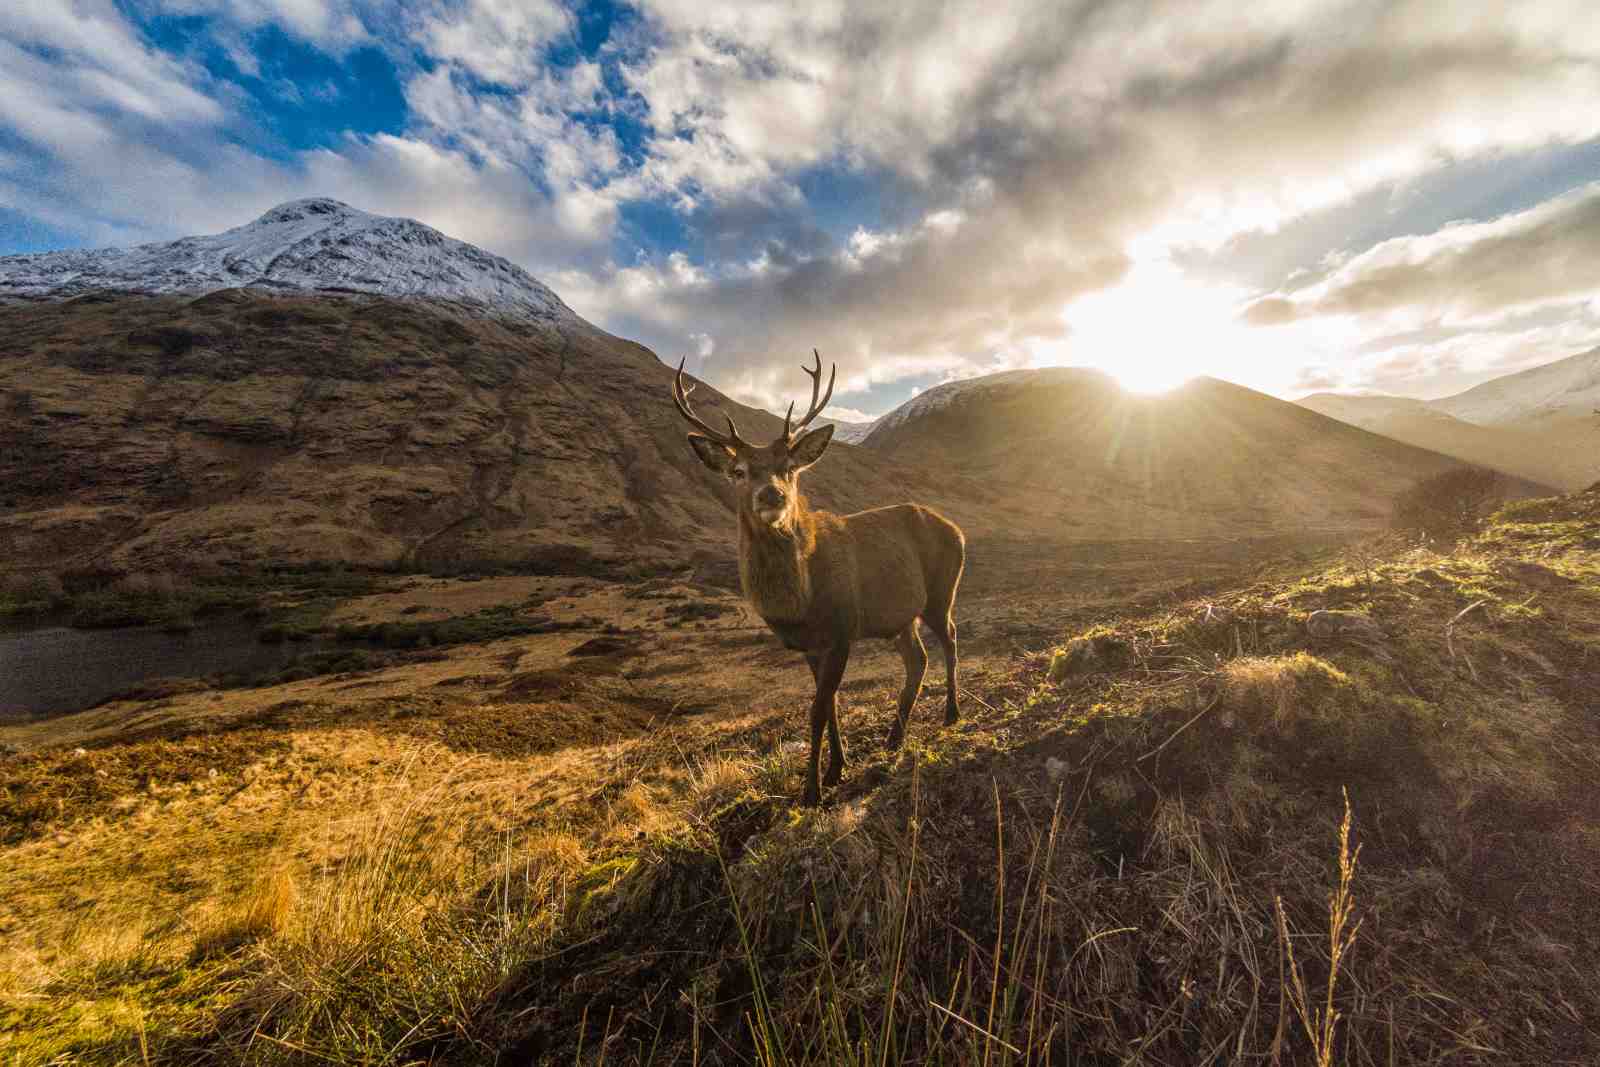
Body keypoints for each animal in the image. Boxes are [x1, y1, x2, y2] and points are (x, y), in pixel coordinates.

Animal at [671, 351, 965, 805]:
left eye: (789, 467)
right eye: (738, 470)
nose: (772, 494)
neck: (799, 603)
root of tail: (957, 528)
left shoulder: (843, 629)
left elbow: (816, 710)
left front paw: (811, 790)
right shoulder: (811, 646)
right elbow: (831, 706)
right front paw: (835, 769)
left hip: (941, 589)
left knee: (949, 637)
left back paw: (951, 713)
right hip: (899, 617)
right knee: (918, 659)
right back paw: (894, 737)